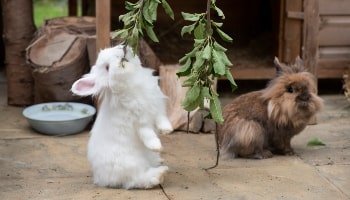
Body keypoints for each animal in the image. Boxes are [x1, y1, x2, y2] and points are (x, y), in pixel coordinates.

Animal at [71, 45, 174, 189]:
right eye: (107, 67)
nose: (123, 47)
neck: (132, 82)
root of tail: (101, 178)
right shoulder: (139, 120)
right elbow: (147, 134)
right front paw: (156, 146)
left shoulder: (157, 107)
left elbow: (162, 120)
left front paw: (167, 130)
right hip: (131, 164)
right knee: (137, 179)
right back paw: (160, 173)